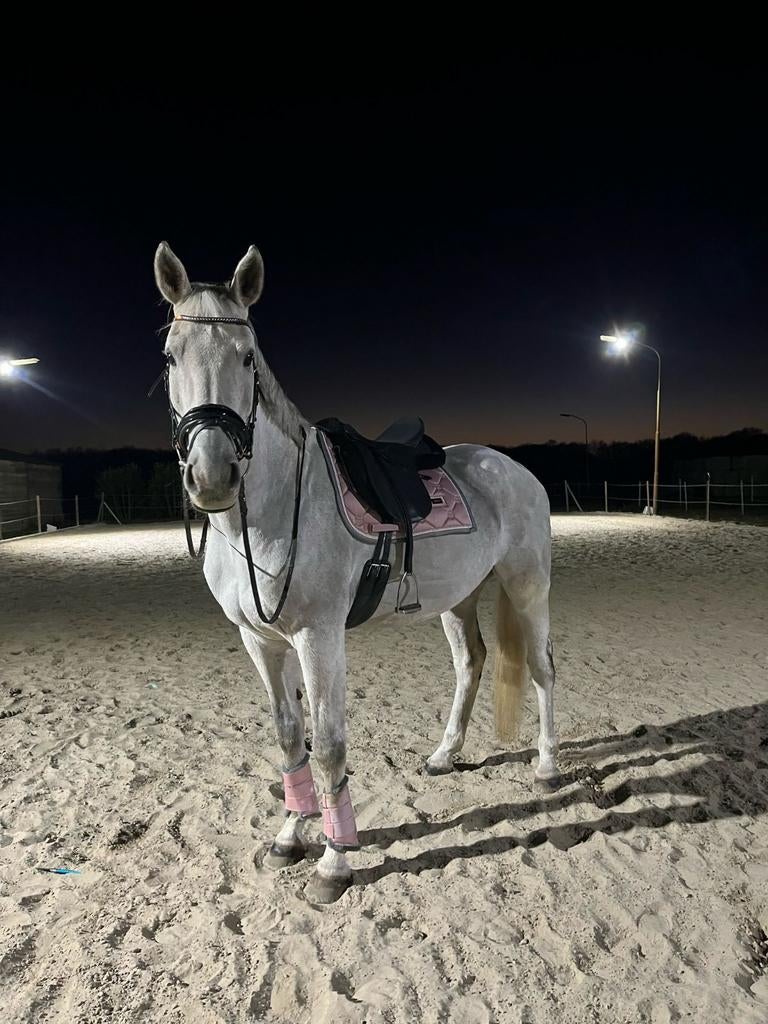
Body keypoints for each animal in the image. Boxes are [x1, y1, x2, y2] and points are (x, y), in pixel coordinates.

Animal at [152, 242, 559, 903]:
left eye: (247, 356)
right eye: (170, 356)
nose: (213, 478)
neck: (265, 517)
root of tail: (514, 468)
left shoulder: (319, 638)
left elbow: (328, 746)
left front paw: (334, 862)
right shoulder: (259, 640)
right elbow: (289, 737)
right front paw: (288, 838)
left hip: (528, 586)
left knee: (543, 667)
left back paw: (547, 767)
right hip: (458, 598)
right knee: (470, 663)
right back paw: (445, 755)